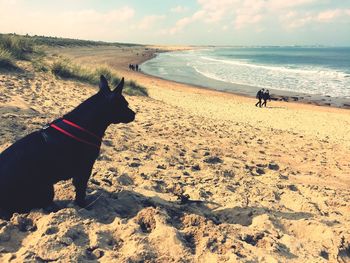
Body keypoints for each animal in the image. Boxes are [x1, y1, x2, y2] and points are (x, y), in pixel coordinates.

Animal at [0, 75, 135, 213]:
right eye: (125, 105)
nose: (134, 114)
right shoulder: (84, 170)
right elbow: (81, 192)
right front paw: (83, 205)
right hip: (47, 189)